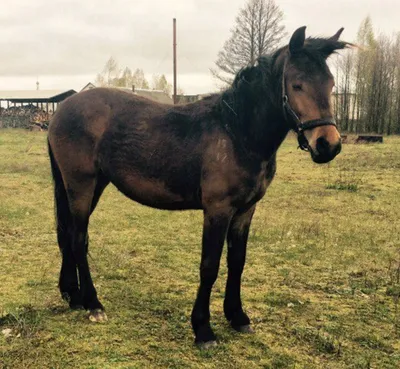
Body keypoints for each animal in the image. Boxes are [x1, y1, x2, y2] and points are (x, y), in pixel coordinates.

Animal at [46, 27, 346, 346]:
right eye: (297, 84)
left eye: (330, 83)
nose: (328, 145)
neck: (237, 132)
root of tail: (61, 110)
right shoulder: (217, 210)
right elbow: (210, 265)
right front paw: (203, 329)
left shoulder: (245, 211)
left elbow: (237, 262)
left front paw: (238, 316)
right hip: (81, 185)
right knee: (79, 239)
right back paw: (93, 303)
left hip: (91, 186)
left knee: (67, 234)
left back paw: (73, 295)